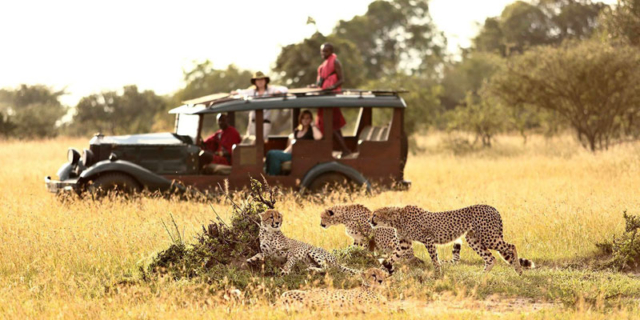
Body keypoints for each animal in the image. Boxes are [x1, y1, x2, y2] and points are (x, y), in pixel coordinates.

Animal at [322, 204, 462, 264]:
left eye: (323, 217)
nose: (321, 224)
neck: (345, 216)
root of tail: (413, 255)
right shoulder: (358, 238)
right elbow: (354, 248)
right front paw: (351, 254)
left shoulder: (367, 235)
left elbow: (365, 248)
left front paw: (362, 256)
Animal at [372, 205, 532, 276]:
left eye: (375, 215)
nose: (370, 220)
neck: (396, 219)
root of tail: (493, 208)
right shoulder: (404, 245)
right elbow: (392, 258)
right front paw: (380, 269)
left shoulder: (428, 240)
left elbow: (434, 259)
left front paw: (437, 274)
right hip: (473, 238)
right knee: (491, 258)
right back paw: (481, 276)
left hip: (489, 237)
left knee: (511, 246)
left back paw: (519, 271)